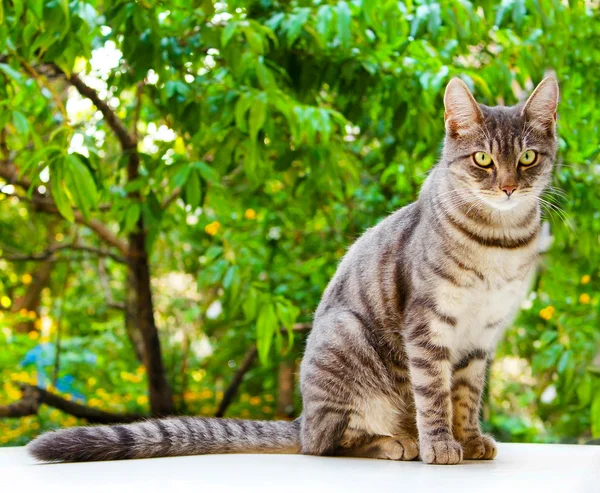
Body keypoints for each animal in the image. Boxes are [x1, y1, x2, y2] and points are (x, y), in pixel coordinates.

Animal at [28, 75, 556, 464]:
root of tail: (302, 418)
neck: (498, 242)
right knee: (329, 442)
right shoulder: (428, 326)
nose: (508, 187)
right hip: (344, 340)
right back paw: (395, 442)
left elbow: (466, 395)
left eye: (527, 157)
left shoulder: (481, 336)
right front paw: (441, 444)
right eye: (483, 159)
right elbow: (434, 394)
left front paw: (469, 438)